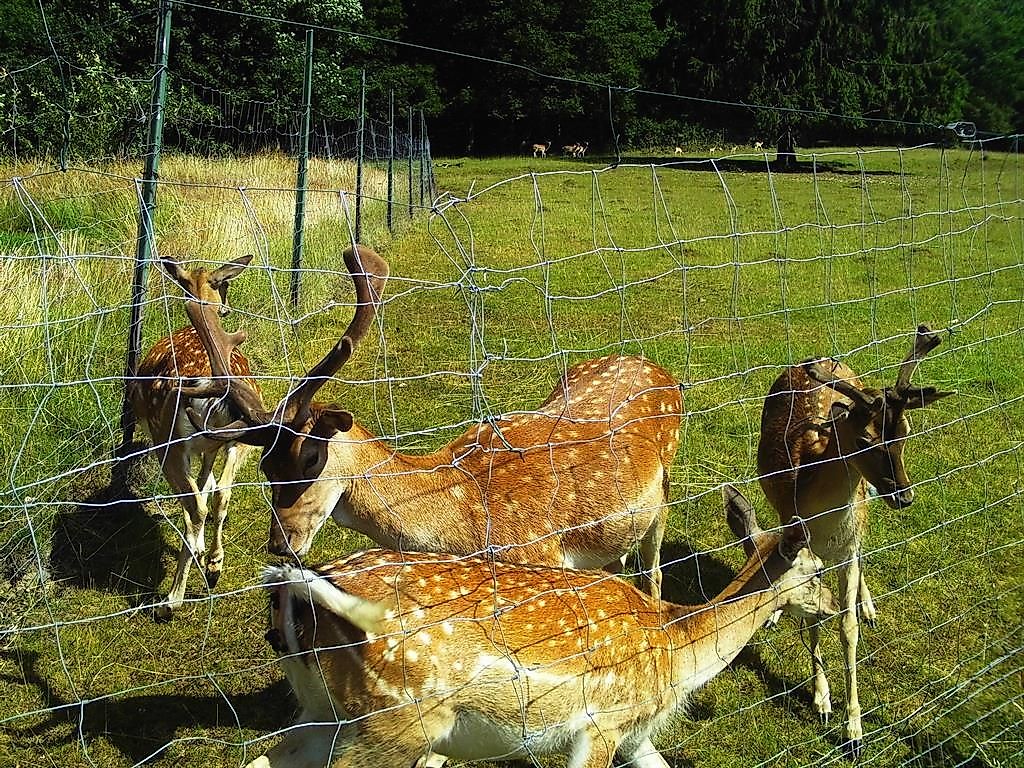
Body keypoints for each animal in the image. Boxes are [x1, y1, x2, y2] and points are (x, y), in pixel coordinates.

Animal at [126, 254, 264, 621]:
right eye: (223, 285)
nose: (225, 309)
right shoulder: (212, 446)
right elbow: (209, 483)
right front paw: (208, 556)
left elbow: (198, 493)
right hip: (238, 437)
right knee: (222, 494)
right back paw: (214, 565)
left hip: (167, 442)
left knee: (196, 507)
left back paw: (171, 600)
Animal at [181, 245, 682, 603]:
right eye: (266, 467)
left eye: (310, 458)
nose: (281, 544)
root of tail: (655, 366)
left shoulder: (544, 559)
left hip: (663, 495)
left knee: (654, 571)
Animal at [241, 489, 838, 768]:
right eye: (816, 571)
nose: (833, 606)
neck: (675, 651)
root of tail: (297, 596)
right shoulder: (602, 723)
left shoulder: (636, 734)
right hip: (396, 721)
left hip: (323, 711)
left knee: (264, 756)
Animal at [754, 325, 953, 756]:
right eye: (864, 440)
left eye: (907, 432)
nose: (905, 496)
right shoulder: (804, 548)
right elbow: (811, 618)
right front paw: (822, 702)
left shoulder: (847, 546)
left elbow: (847, 628)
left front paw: (855, 731)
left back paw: (868, 605)